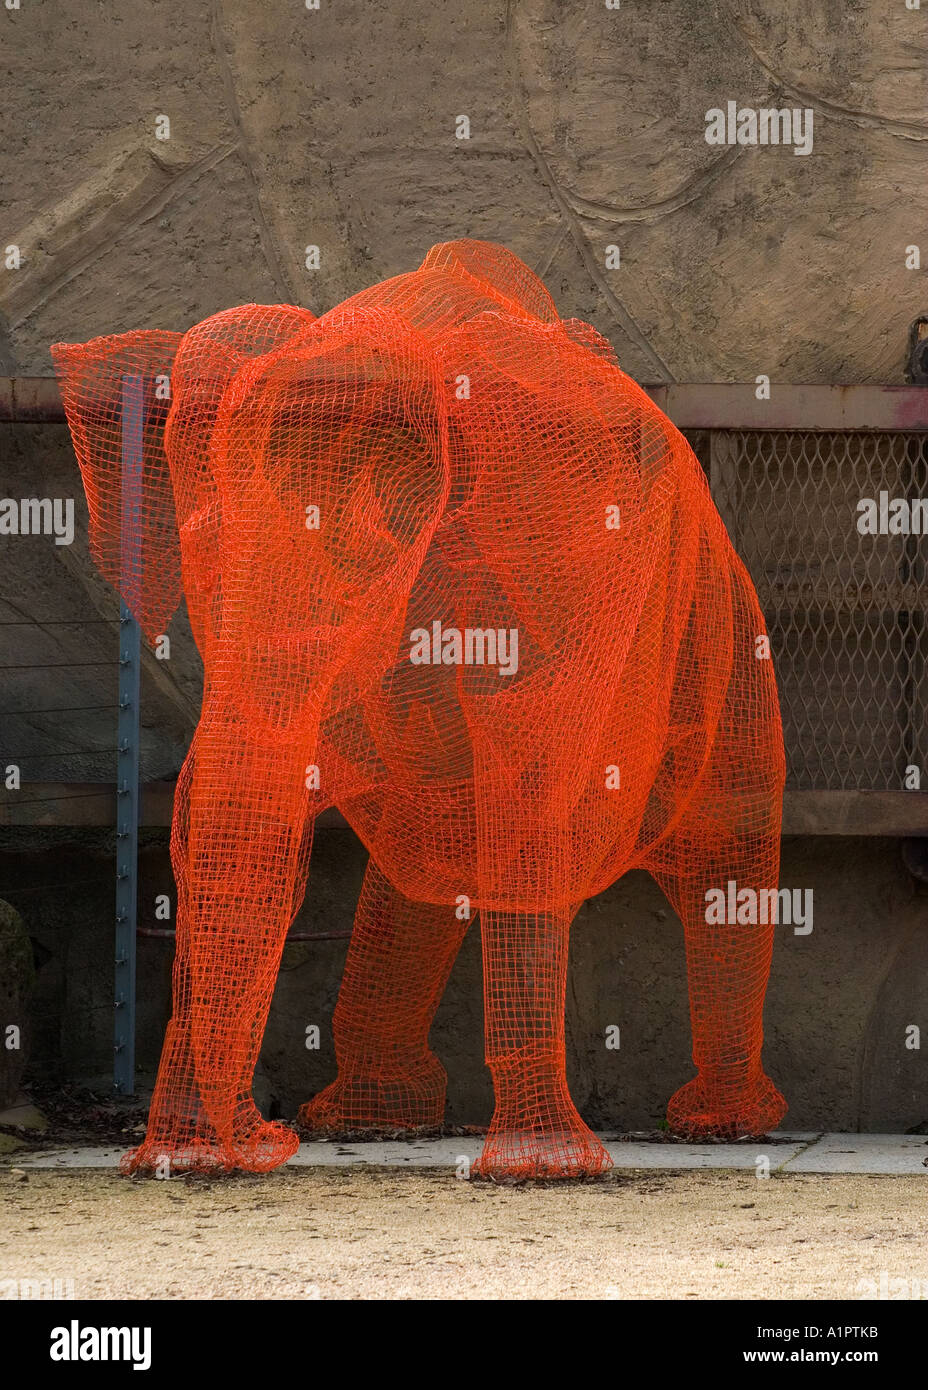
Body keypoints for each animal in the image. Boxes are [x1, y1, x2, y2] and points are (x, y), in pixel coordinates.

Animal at [51, 238, 787, 1179]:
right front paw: (177, 1159)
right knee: (426, 863)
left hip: (720, 627)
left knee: (724, 848)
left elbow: (529, 801)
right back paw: (369, 1117)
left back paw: (720, 1123)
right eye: (201, 548)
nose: (263, 1140)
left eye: (367, 544)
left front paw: (544, 1170)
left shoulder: (551, 577)